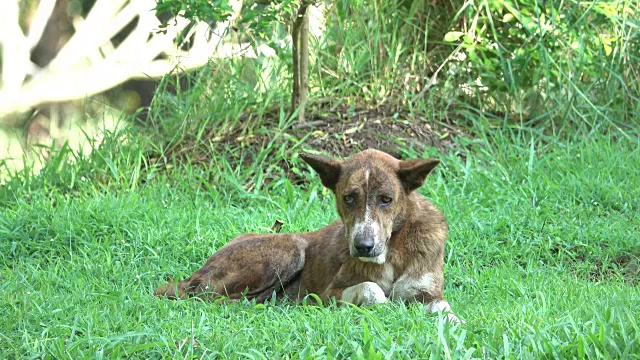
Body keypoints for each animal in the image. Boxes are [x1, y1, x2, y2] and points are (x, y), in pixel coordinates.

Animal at [156, 149, 460, 324]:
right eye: (349, 198)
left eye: (387, 200)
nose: (363, 246)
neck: (394, 248)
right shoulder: (327, 294)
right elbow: (371, 289)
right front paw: (387, 309)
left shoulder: (427, 293)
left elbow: (444, 308)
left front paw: (455, 326)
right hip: (290, 248)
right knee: (207, 296)